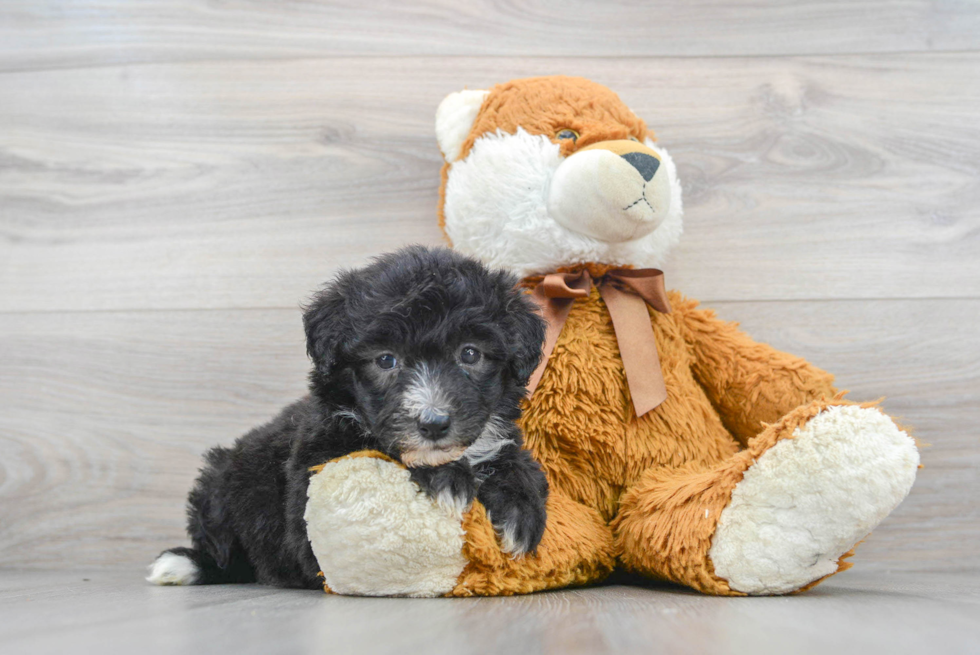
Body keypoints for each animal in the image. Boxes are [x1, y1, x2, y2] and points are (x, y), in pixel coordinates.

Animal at [146, 246, 548, 588]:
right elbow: (382, 449)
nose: (433, 424)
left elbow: (516, 461)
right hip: (217, 483)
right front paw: (446, 478)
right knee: (225, 552)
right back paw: (183, 565)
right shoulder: (310, 499)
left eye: (470, 353)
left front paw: (520, 508)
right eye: (385, 359)